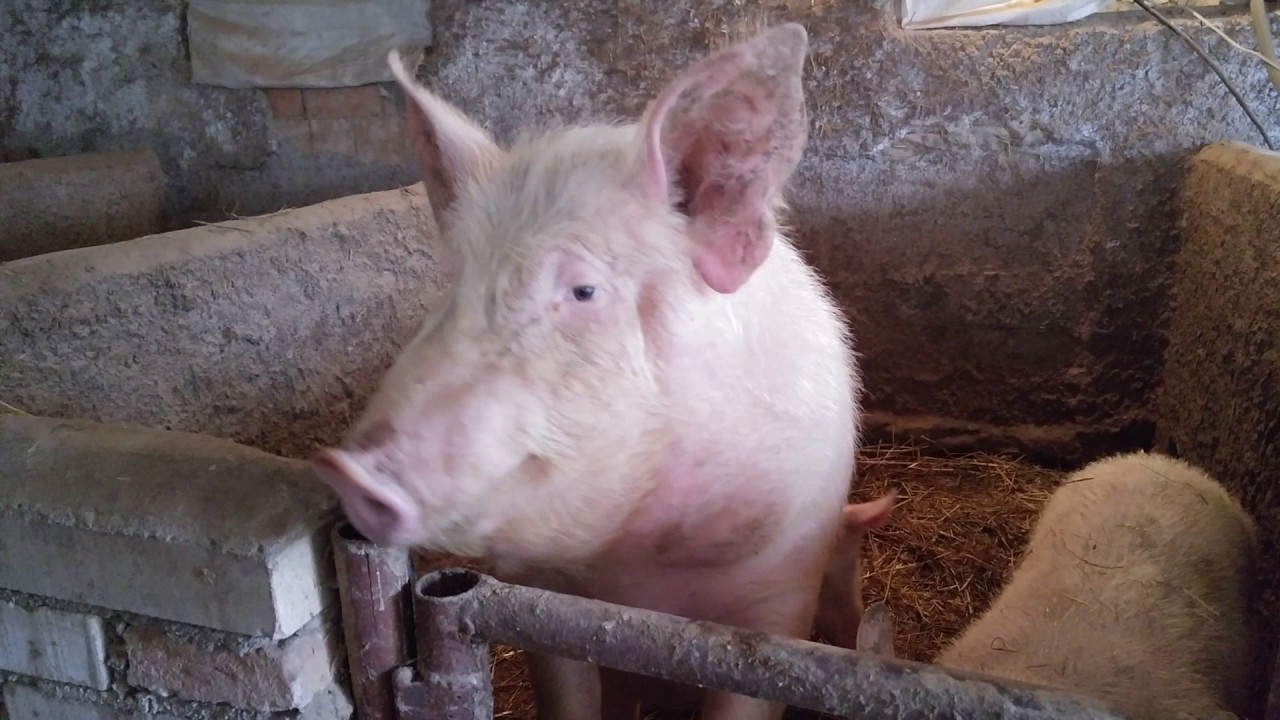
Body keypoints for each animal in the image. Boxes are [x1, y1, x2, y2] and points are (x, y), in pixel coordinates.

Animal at [311, 23, 861, 720]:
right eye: (455, 285)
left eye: (582, 291)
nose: (342, 467)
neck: (642, 568)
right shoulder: (540, 597)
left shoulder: (778, 599)